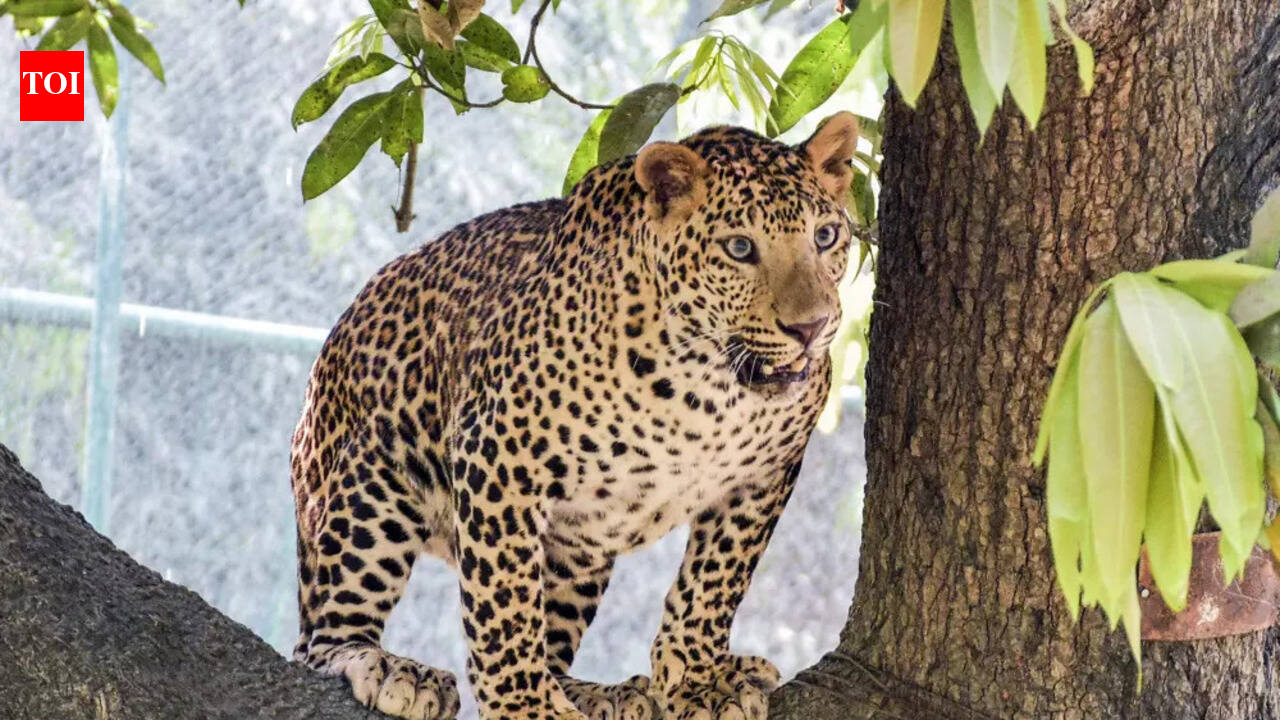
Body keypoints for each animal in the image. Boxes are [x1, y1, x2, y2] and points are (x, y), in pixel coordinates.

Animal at [290, 112, 860, 720]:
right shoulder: (498, 458)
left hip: (577, 552)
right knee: (323, 637)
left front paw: (700, 678)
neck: (713, 393)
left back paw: (602, 692)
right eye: (739, 248)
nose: (811, 328)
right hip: (372, 488)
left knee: (556, 643)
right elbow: (505, 602)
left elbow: (716, 580)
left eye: (826, 236)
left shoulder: (763, 478)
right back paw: (394, 667)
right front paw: (523, 704)